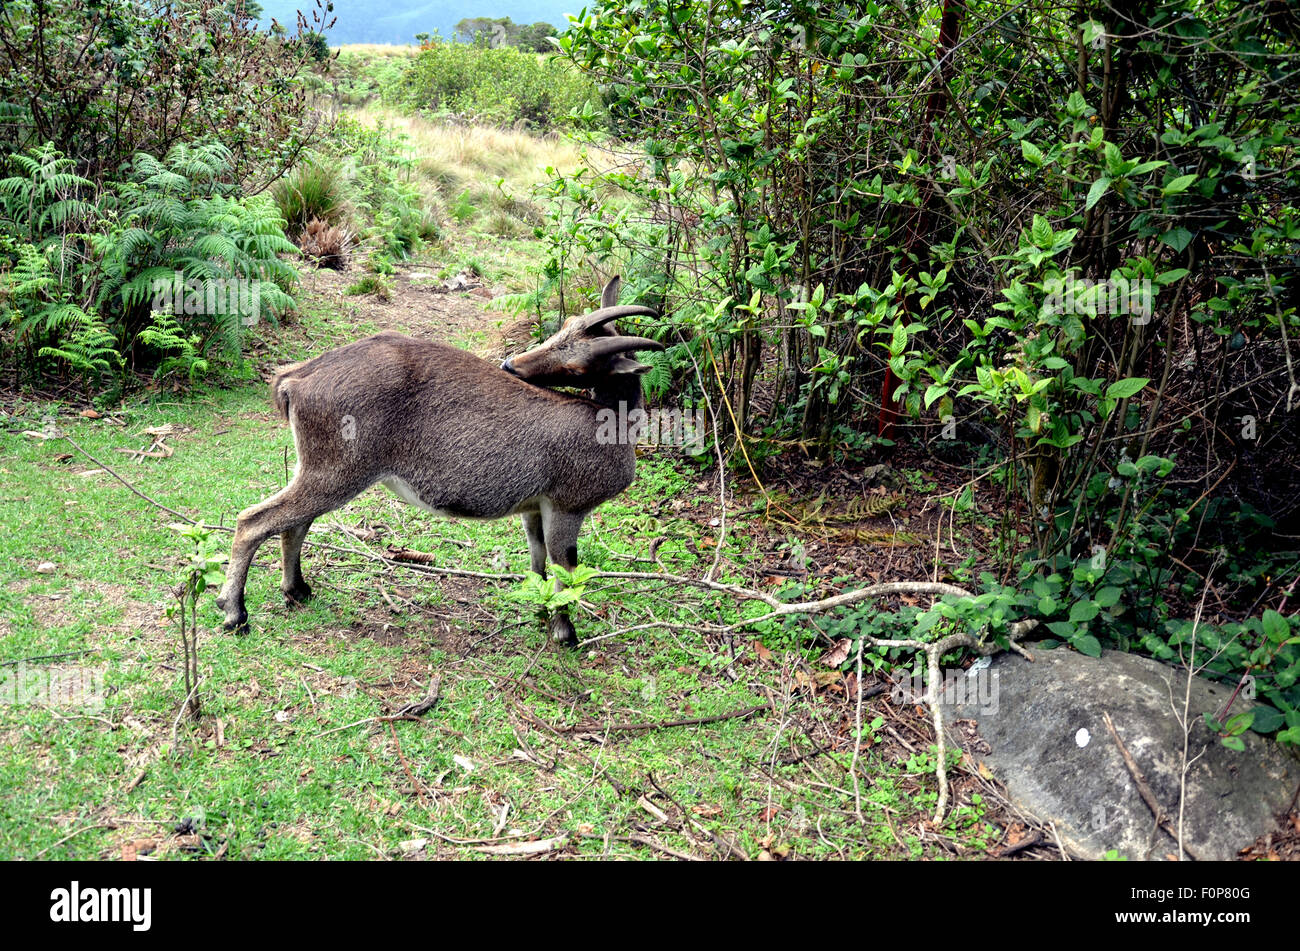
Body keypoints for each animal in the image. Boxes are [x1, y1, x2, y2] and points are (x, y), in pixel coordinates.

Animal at [215, 277, 662, 645]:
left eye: (576, 362)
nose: (510, 365)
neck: (612, 423)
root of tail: (295, 379)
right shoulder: (568, 506)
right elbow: (565, 571)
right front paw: (565, 634)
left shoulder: (534, 508)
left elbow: (538, 565)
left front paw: (540, 613)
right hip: (337, 471)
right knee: (254, 521)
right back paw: (235, 612)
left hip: (317, 468)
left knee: (294, 522)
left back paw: (297, 591)